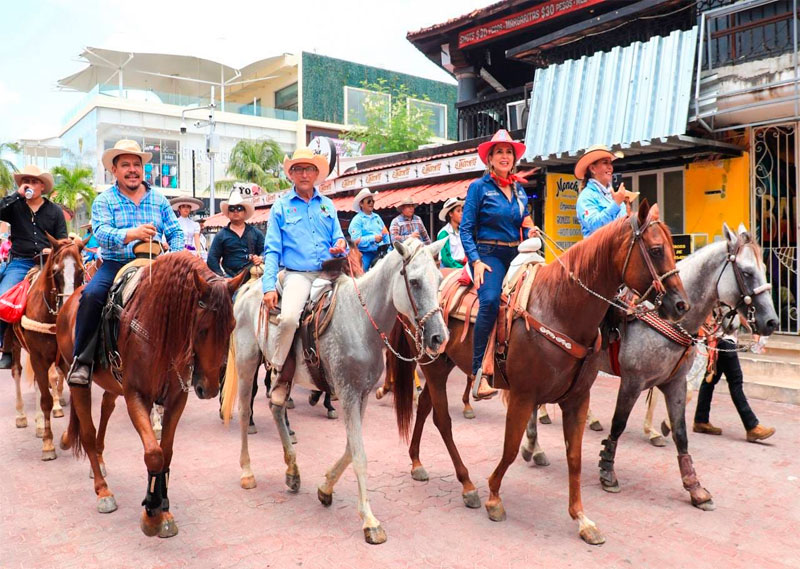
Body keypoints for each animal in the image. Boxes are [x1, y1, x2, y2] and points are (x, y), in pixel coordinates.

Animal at [12, 233, 85, 460]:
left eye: (81, 271)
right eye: (56, 271)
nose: (69, 308)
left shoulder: (66, 360)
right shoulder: (38, 357)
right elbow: (45, 399)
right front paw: (48, 444)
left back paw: (38, 425)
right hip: (16, 347)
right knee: (17, 372)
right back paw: (22, 416)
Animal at [57, 253, 247, 536]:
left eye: (232, 326)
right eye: (202, 329)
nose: (210, 388)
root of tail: (69, 302)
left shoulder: (177, 399)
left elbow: (166, 452)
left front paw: (163, 508)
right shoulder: (137, 396)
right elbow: (153, 454)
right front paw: (151, 512)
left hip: (113, 385)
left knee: (105, 408)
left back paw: (98, 460)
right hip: (79, 379)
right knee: (88, 433)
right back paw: (103, 490)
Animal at [223, 237, 450, 544]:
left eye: (438, 279)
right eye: (413, 281)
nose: (439, 337)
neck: (361, 321)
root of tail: (250, 287)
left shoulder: (361, 395)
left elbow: (350, 449)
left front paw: (326, 488)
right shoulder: (348, 394)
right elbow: (359, 456)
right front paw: (370, 521)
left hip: (283, 375)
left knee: (276, 406)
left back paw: (292, 471)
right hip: (247, 363)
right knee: (245, 410)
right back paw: (247, 471)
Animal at [386, 202, 688, 544]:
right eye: (656, 249)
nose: (681, 305)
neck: (558, 307)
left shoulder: (577, 399)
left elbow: (574, 457)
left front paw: (582, 518)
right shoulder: (522, 395)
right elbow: (510, 448)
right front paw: (494, 497)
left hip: (441, 363)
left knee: (424, 407)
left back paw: (416, 462)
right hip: (434, 365)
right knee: (442, 420)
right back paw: (467, 485)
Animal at [520, 221, 780, 506]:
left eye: (764, 269)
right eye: (746, 272)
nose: (772, 322)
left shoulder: (675, 382)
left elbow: (680, 432)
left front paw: (694, 486)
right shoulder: (633, 381)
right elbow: (619, 424)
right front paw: (607, 471)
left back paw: (537, 444)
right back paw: (536, 443)